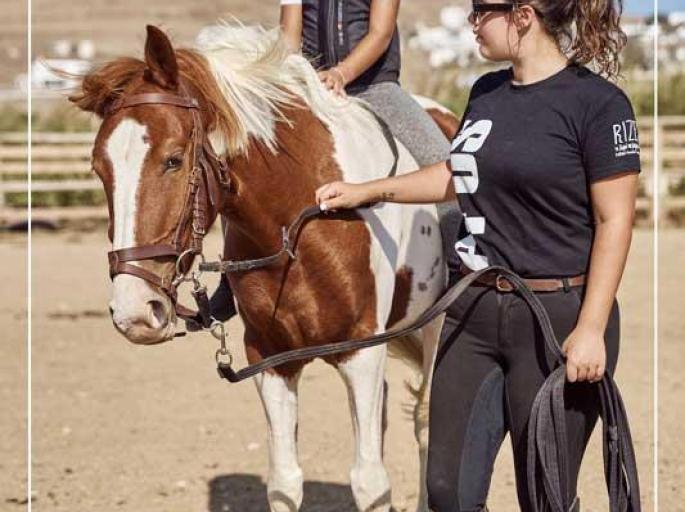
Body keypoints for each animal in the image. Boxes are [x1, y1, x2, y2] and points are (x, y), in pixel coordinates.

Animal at [71, 23, 454, 512]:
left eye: (173, 159)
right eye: (99, 169)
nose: (134, 312)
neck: (302, 221)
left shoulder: (363, 351)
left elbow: (370, 480)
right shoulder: (270, 359)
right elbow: (285, 480)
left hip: (435, 327)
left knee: (426, 420)